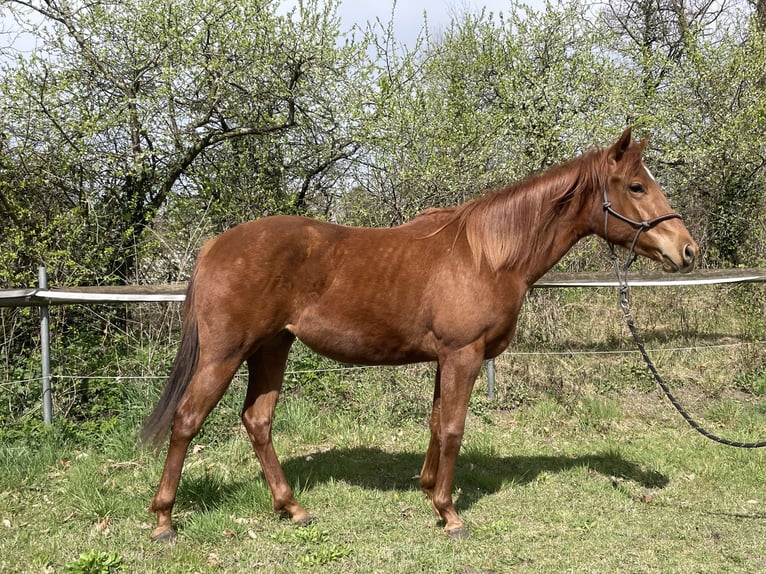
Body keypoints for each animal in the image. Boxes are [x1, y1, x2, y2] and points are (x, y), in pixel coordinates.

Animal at [141, 127, 697, 541]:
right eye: (637, 186)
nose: (687, 251)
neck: (487, 256)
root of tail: (214, 245)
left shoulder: (444, 359)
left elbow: (434, 422)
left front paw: (429, 489)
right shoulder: (463, 355)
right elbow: (452, 429)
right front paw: (449, 514)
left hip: (272, 347)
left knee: (258, 421)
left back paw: (292, 507)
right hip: (225, 353)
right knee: (187, 421)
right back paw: (164, 520)